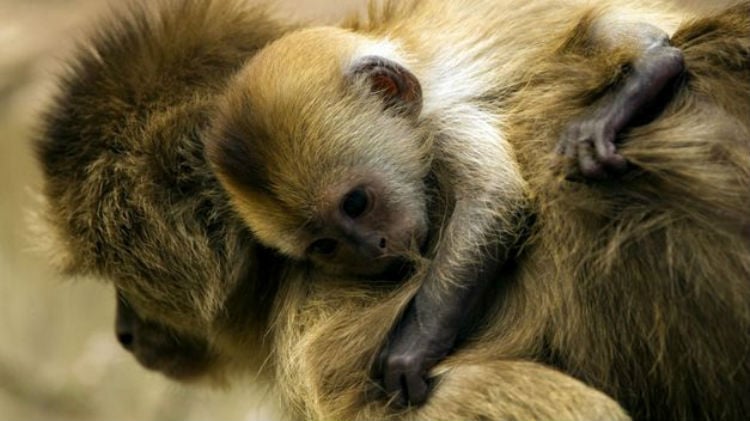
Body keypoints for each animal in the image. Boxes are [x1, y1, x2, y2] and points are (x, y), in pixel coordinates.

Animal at [207, 0, 688, 406]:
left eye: (356, 203)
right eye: (324, 246)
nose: (376, 250)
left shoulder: (441, 121)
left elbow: (494, 200)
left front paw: (412, 349)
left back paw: (651, 68)